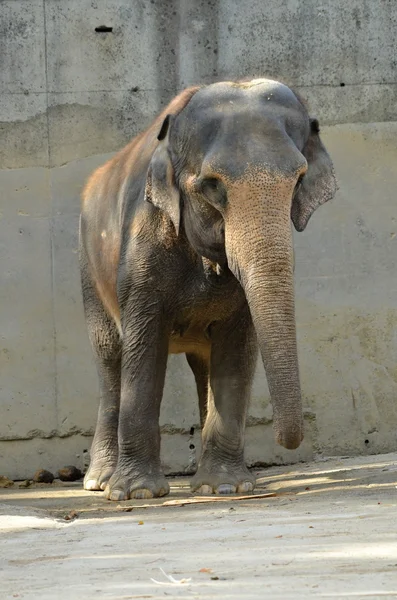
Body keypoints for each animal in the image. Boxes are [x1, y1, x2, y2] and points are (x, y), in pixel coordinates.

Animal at [79, 79, 336, 502]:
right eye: (212, 186)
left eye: (299, 180)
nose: (287, 441)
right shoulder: (142, 247)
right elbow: (143, 346)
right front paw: (137, 493)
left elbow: (236, 352)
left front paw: (227, 486)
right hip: (88, 268)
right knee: (109, 359)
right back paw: (100, 482)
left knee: (203, 365)